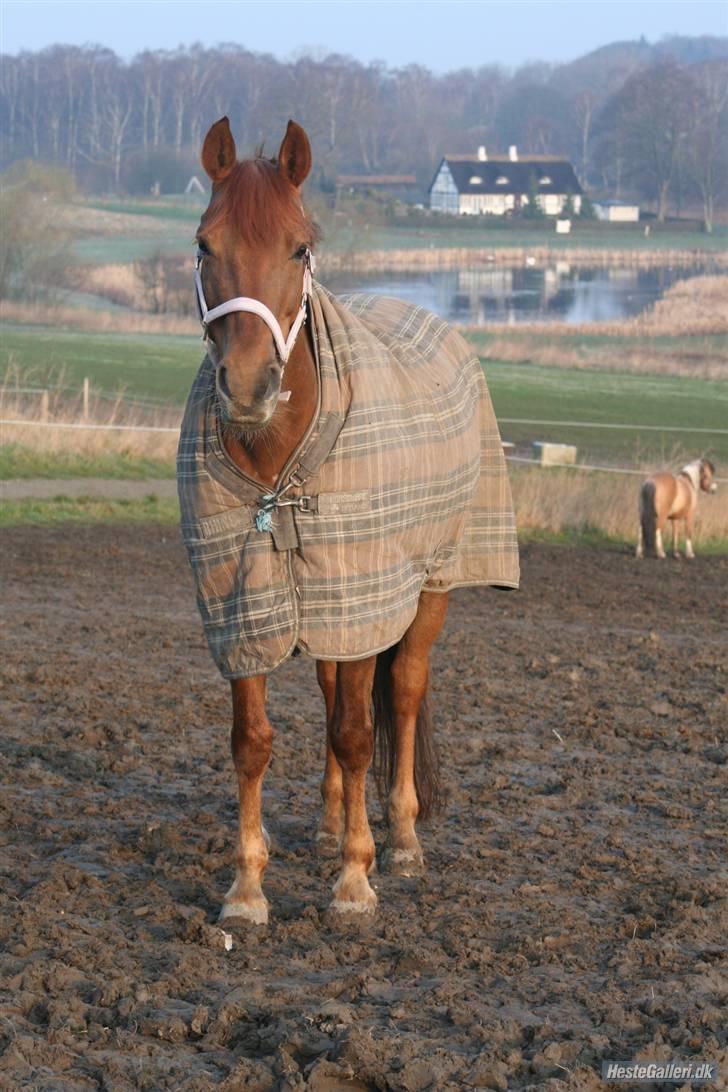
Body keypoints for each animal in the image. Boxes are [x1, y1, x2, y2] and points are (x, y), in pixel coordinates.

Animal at [178, 117, 515, 921]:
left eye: (300, 246)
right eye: (205, 242)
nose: (248, 386)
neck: (279, 466)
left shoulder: (363, 594)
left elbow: (361, 733)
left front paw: (356, 880)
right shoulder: (244, 603)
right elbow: (253, 740)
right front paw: (247, 887)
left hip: (430, 585)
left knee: (403, 692)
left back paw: (401, 840)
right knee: (335, 692)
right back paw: (332, 824)